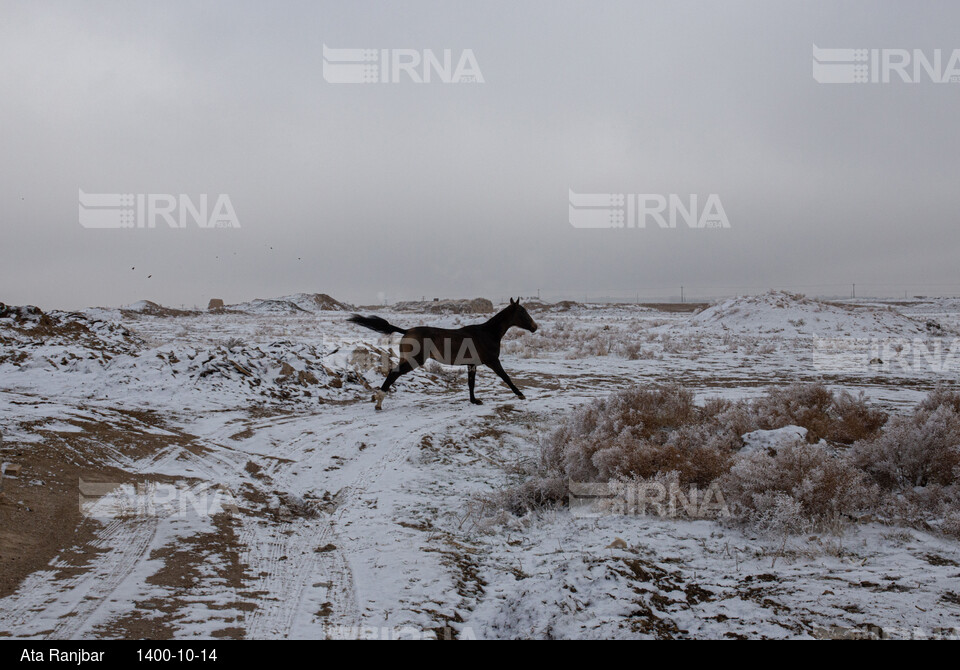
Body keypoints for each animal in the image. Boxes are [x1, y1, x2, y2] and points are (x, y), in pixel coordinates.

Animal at [346, 298, 540, 410]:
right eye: (522, 312)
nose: (535, 327)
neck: (487, 333)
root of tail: (406, 331)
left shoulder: (472, 364)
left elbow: (471, 384)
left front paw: (474, 400)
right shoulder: (493, 361)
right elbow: (506, 377)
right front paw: (520, 394)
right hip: (414, 361)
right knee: (393, 374)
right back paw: (379, 401)